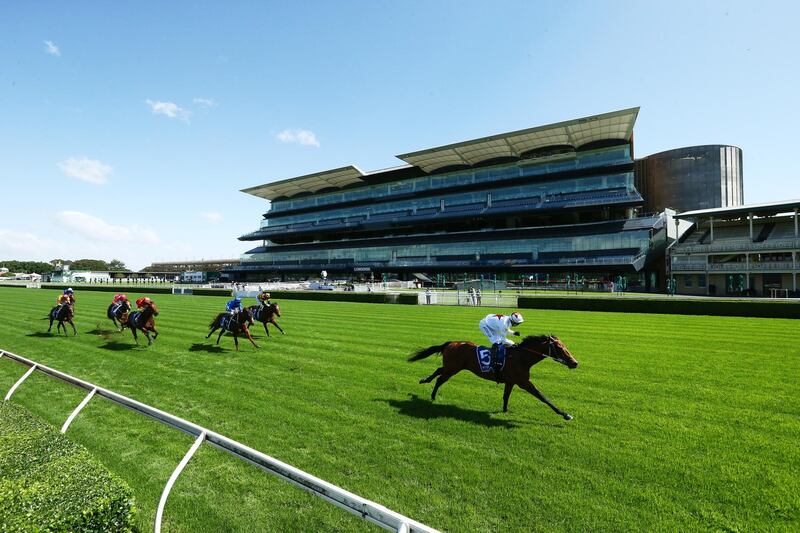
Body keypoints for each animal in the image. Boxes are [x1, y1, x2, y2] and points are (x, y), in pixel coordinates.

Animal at [410, 336, 580, 420]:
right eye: (560, 348)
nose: (575, 363)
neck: (521, 357)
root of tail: (452, 343)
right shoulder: (524, 382)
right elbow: (543, 397)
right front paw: (565, 414)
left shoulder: (511, 381)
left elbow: (506, 397)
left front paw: (504, 410)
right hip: (453, 369)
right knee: (440, 378)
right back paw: (432, 393)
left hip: (452, 367)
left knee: (439, 371)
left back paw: (425, 381)